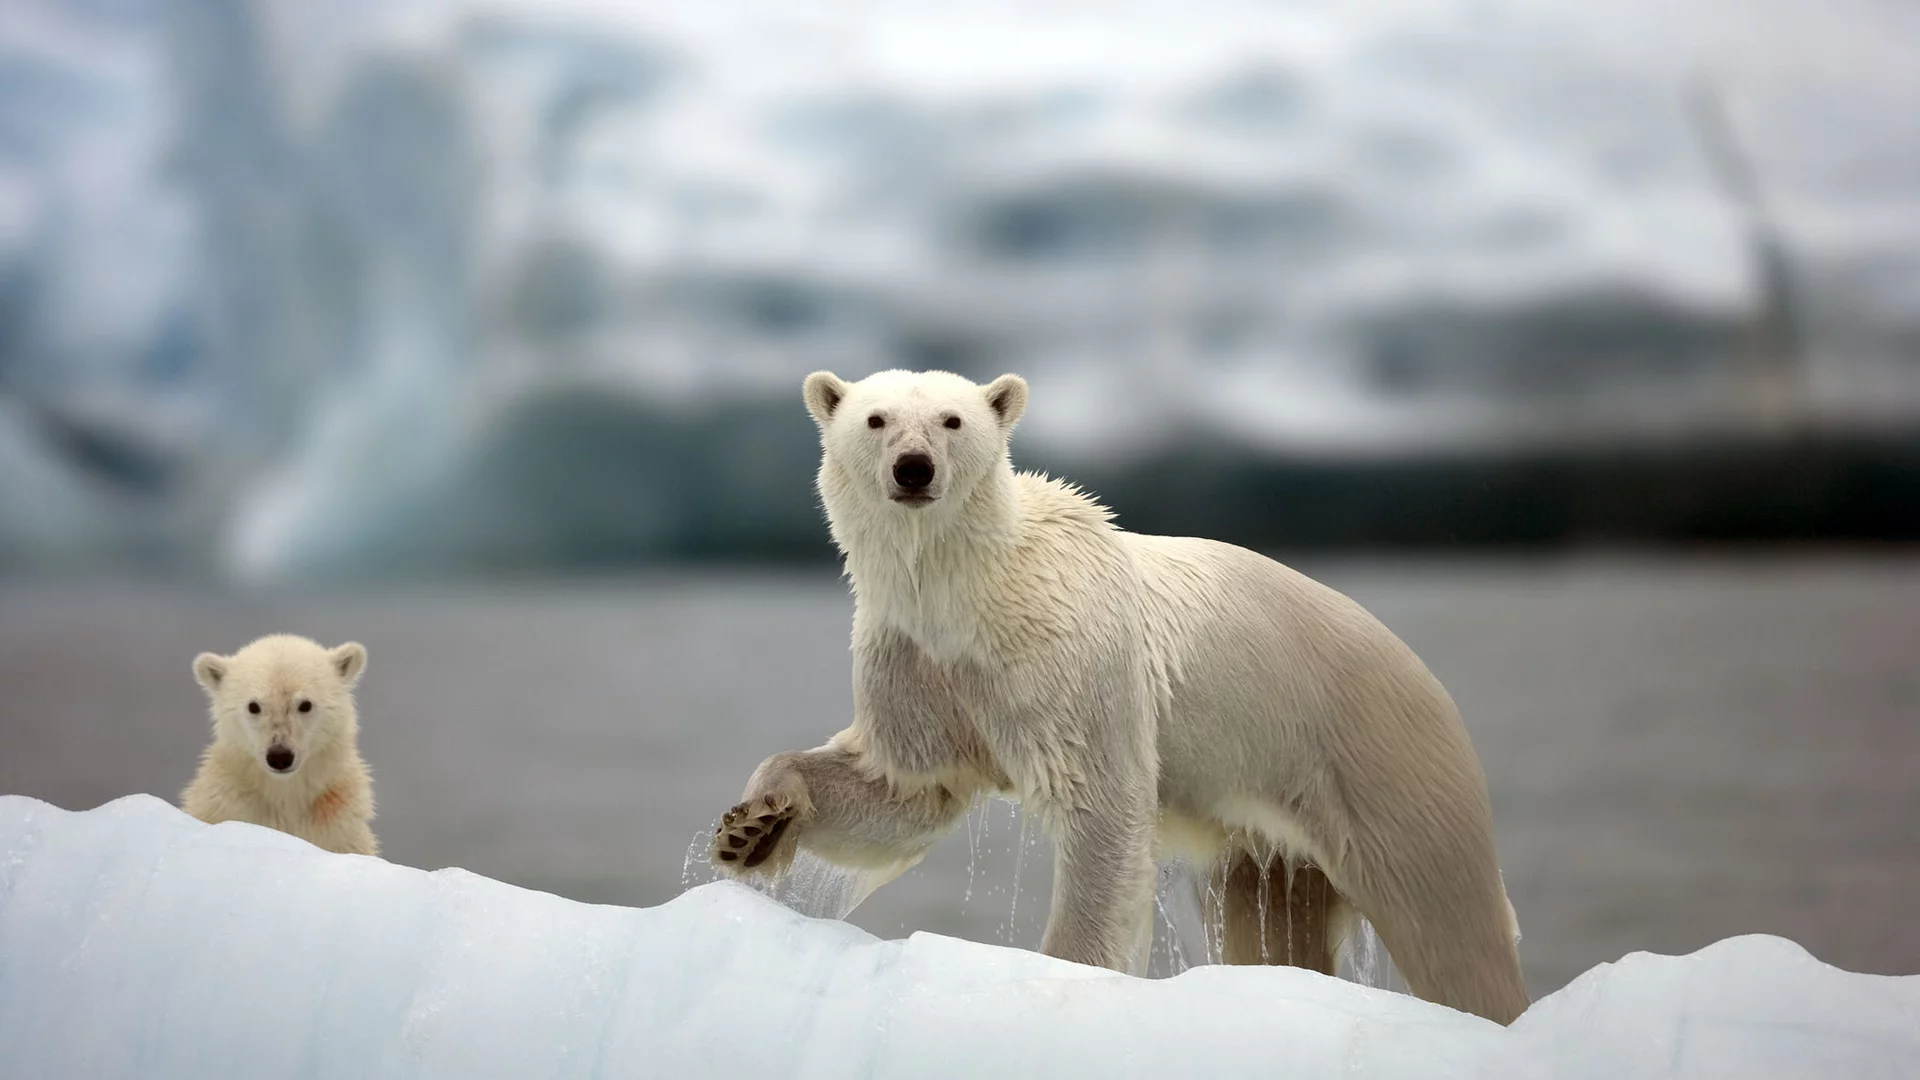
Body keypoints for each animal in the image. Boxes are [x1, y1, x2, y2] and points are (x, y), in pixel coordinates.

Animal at [706, 367, 1528, 1014]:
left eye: (952, 419)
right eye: (875, 419)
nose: (913, 468)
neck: (968, 593)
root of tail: (1422, 674)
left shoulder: (1069, 658)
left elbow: (1099, 806)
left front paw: (1066, 972)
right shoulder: (914, 661)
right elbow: (905, 788)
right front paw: (753, 827)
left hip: (1381, 761)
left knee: (1449, 924)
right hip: (1271, 835)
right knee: (1272, 921)